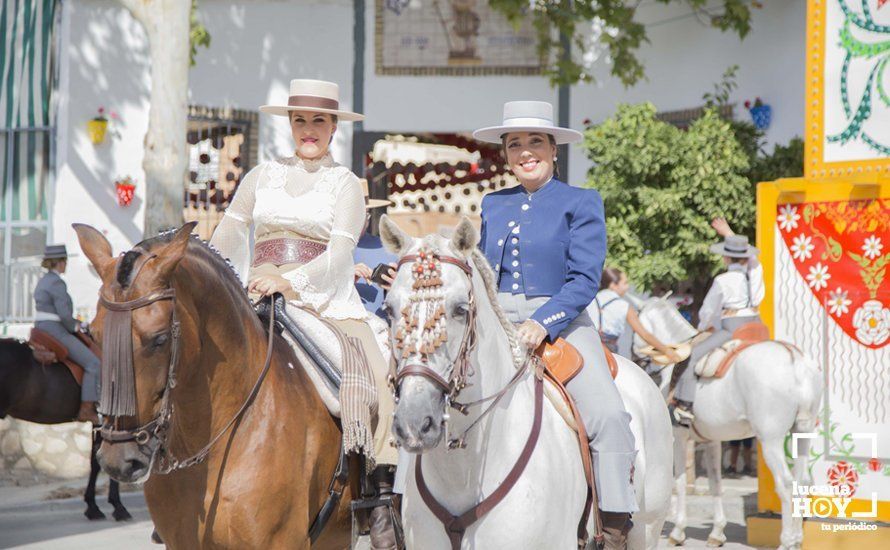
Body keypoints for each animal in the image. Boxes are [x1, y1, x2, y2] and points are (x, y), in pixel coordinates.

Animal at [636, 298, 824, 550]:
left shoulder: (679, 436)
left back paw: (787, 541)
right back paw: (798, 538)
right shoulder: (712, 440)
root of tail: (795, 359)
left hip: (771, 440)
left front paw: (678, 530)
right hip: (802, 432)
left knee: (785, 483)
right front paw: (717, 532)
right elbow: (715, 484)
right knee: (801, 481)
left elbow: (681, 482)